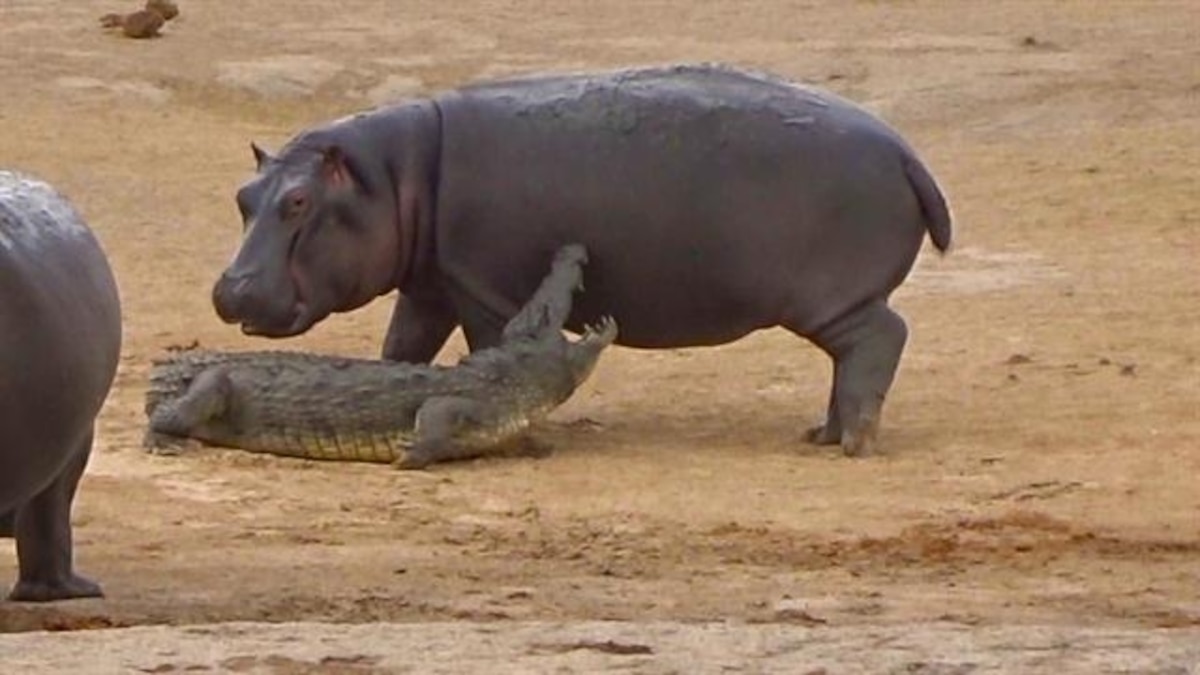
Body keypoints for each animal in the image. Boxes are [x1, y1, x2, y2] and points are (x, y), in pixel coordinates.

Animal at [211, 63, 950, 454]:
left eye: (299, 201)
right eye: (244, 195)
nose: (230, 290)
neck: (393, 176)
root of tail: (908, 152)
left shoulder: (482, 289)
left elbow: (486, 351)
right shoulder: (433, 284)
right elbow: (403, 348)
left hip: (834, 300)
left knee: (880, 338)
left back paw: (852, 442)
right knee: (854, 356)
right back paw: (821, 433)